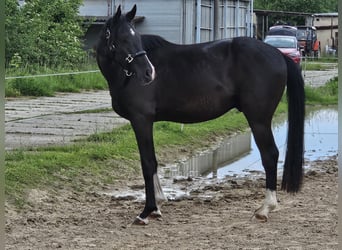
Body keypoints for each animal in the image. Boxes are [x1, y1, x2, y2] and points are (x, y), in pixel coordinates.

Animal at [96, 5, 304, 225]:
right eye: (124, 38)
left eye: (136, 37)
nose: (148, 72)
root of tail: (278, 54)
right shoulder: (146, 122)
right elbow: (153, 160)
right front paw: (158, 205)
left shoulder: (141, 120)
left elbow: (147, 163)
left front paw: (147, 211)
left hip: (259, 120)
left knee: (270, 155)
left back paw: (265, 208)